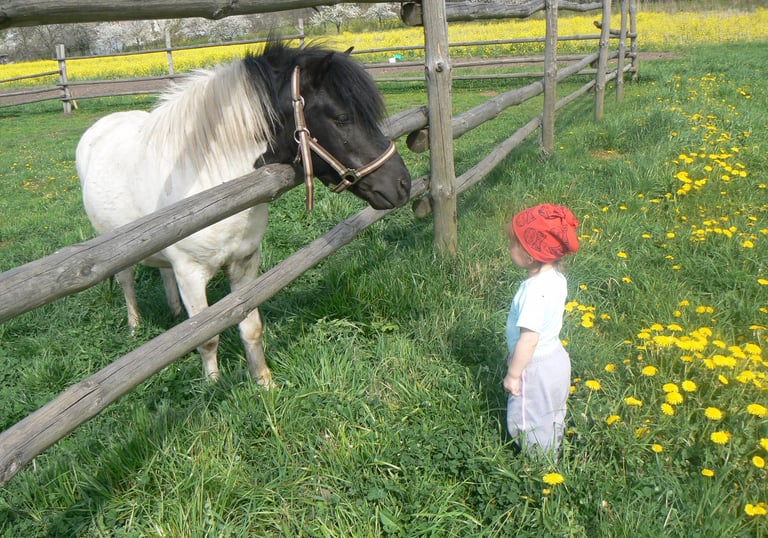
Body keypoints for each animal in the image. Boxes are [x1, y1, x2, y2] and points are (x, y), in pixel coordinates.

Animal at [75, 39, 411, 386]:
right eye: (342, 118)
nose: (403, 183)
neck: (211, 176)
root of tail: (100, 127)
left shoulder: (245, 262)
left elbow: (251, 327)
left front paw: (264, 382)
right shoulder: (191, 273)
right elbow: (207, 337)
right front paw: (212, 385)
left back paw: (175, 314)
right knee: (127, 282)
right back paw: (135, 326)